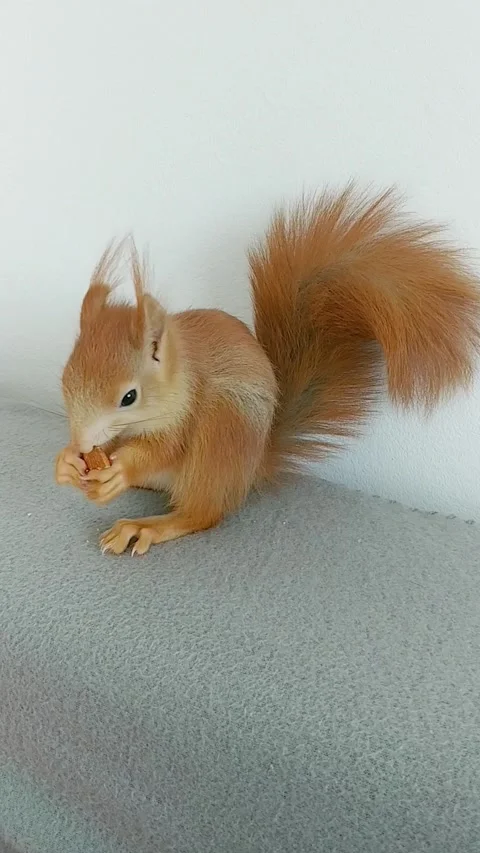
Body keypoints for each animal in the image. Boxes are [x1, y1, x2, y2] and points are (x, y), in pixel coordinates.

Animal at [56, 185, 480, 555]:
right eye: (64, 380)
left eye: (129, 397)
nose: (81, 444)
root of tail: (251, 470)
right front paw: (67, 462)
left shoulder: (189, 408)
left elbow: (164, 449)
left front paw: (120, 469)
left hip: (223, 429)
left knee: (201, 513)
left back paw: (147, 526)